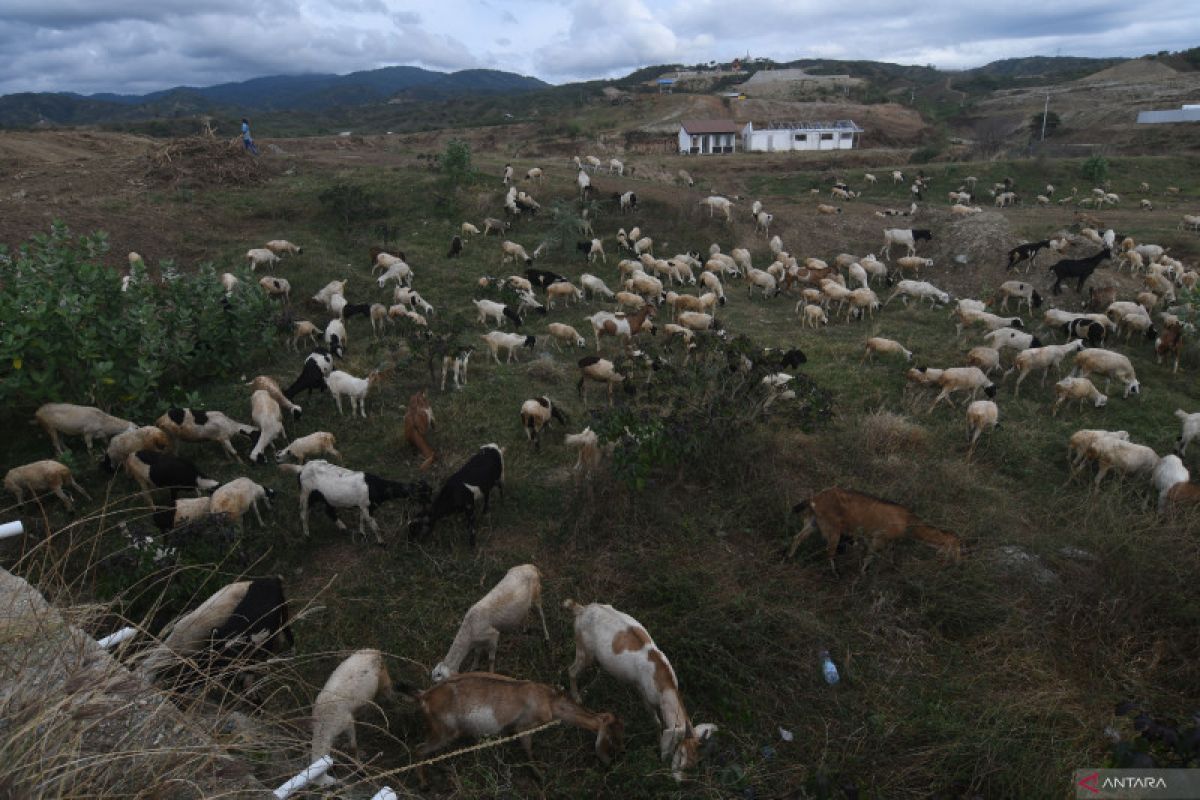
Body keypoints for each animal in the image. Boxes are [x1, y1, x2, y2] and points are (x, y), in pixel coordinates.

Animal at [312, 647, 396, 786]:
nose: (340, 783)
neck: (324, 725)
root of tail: (373, 650)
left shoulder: (347, 722)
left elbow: (353, 747)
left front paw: (360, 769)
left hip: (384, 678)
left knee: (387, 688)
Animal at [561, 599, 710, 782]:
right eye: (681, 752)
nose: (681, 778)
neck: (664, 684)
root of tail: (581, 609)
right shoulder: (645, 697)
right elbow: (656, 722)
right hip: (584, 650)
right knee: (571, 670)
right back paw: (577, 697)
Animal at [787, 484, 964, 573]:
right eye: (957, 549)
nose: (958, 564)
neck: (908, 521)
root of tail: (814, 499)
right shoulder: (879, 538)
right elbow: (869, 557)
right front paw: (862, 574)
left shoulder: (890, 542)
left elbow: (891, 557)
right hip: (833, 528)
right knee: (829, 552)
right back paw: (835, 573)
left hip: (814, 521)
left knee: (797, 537)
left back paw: (789, 557)